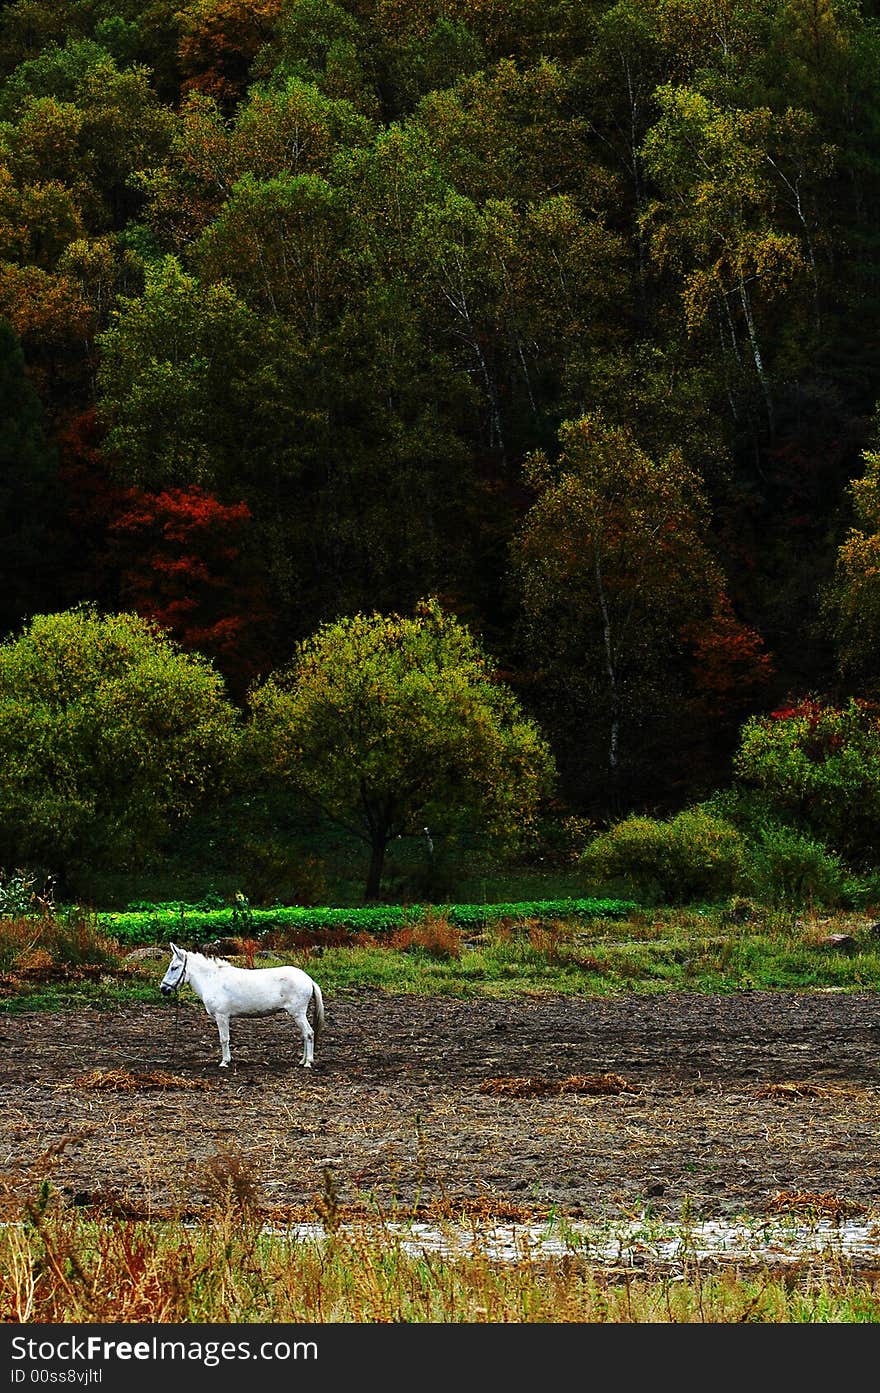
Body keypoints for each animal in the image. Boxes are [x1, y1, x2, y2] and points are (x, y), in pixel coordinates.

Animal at [160, 947, 324, 1064]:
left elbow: (224, 1039)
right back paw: (302, 1060)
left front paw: (225, 1062)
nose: (163, 989)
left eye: (174, 967)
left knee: (309, 1033)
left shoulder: (222, 1016)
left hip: (298, 1013)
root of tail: (308, 979)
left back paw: (308, 1062)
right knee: (305, 1034)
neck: (212, 979)